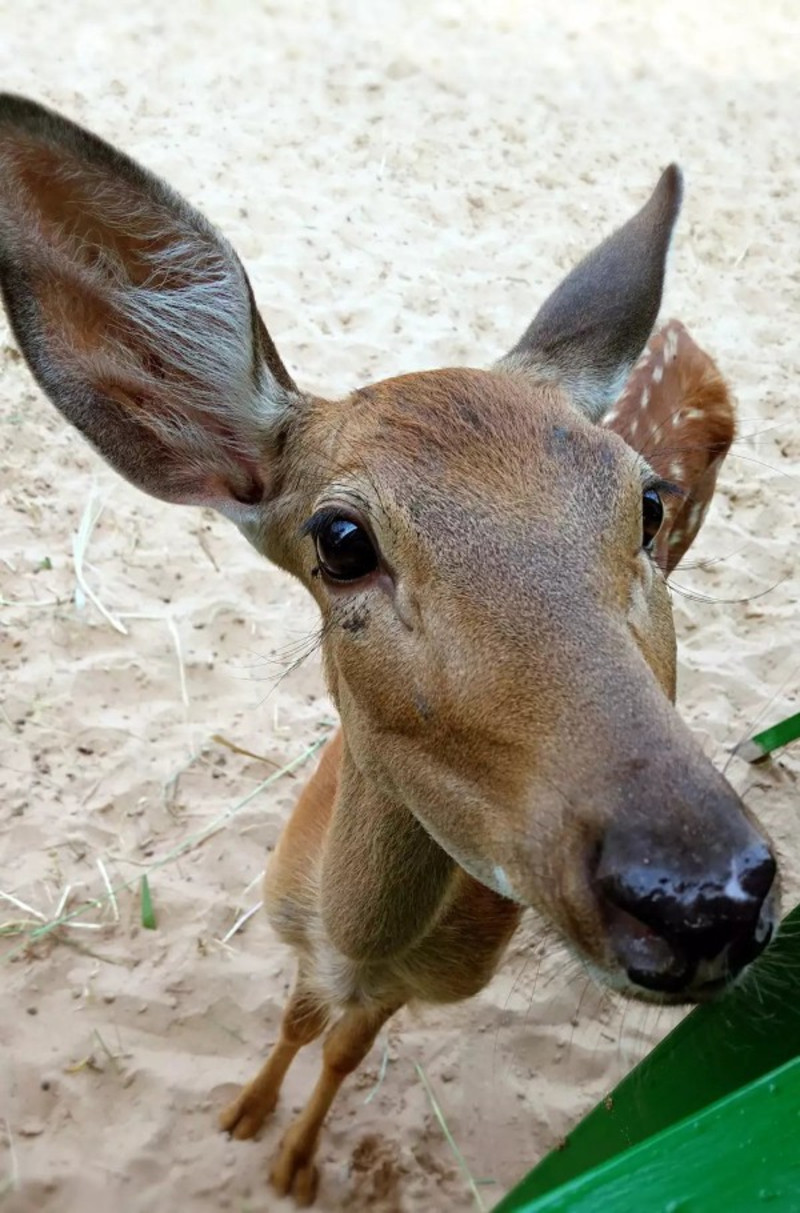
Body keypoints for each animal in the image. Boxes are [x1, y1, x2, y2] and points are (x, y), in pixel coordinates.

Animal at [0, 94, 775, 1203]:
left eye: (646, 503)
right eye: (341, 540)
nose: (702, 896)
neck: (354, 940)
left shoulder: (418, 984)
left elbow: (341, 1045)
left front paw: (292, 1162)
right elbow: (294, 1016)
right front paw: (241, 1116)